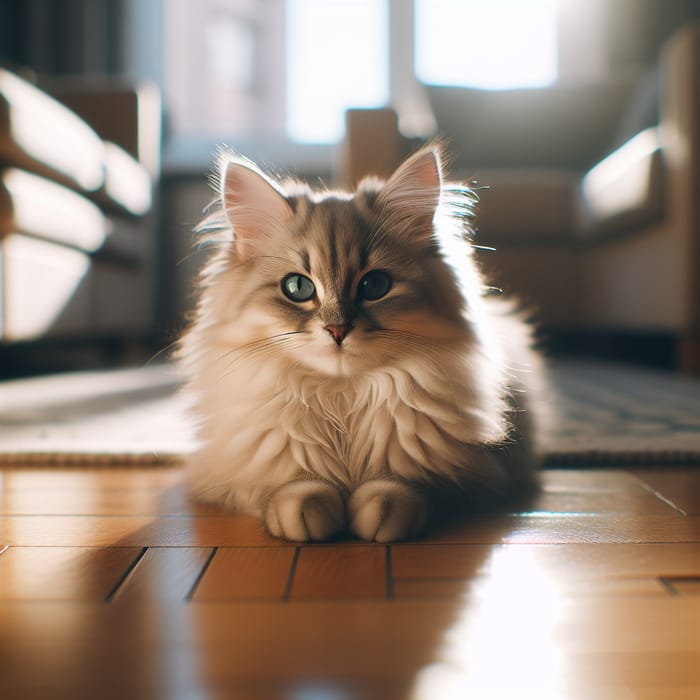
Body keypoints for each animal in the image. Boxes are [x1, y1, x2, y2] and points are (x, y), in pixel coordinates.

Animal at [176, 145, 548, 544]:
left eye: (374, 286)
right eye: (298, 288)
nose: (337, 329)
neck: (342, 399)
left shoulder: (476, 473)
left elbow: (401, 490)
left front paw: (379, 513)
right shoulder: (228, 472)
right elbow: (292, 488)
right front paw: (307, 512)